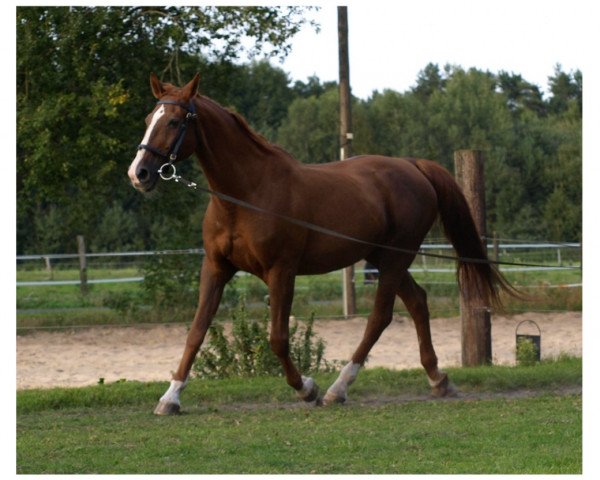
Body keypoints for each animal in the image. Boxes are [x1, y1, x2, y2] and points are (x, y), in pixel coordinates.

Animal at [127, 73, 510, 414]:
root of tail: (413, 166)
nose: (138, 173)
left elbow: (278, 339)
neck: (247, 194)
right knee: (417, 302)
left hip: (394, 259)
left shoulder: (281, 271)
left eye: (174, 121)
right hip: (384, 258)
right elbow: (196, 331)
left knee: (380, 317)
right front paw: (170, 397)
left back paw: (338, 389)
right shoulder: (216, 268)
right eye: (147, 120)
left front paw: (306, 389)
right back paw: (438, 379)